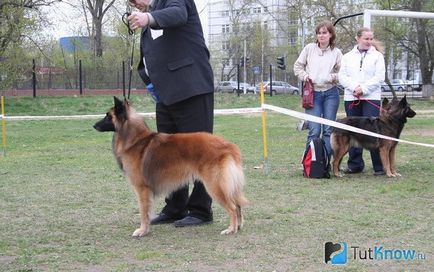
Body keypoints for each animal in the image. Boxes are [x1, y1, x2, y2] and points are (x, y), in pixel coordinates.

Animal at [93, 97, 248, 236]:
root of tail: (229, 146)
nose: (94, 126)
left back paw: (231, 229)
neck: (135, 140)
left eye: (108, 116)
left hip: (214, 185)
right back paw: (239, 226)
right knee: (237, 205)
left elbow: (143, 212)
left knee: (233, 207)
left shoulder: (142, 189)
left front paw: (142, 230)